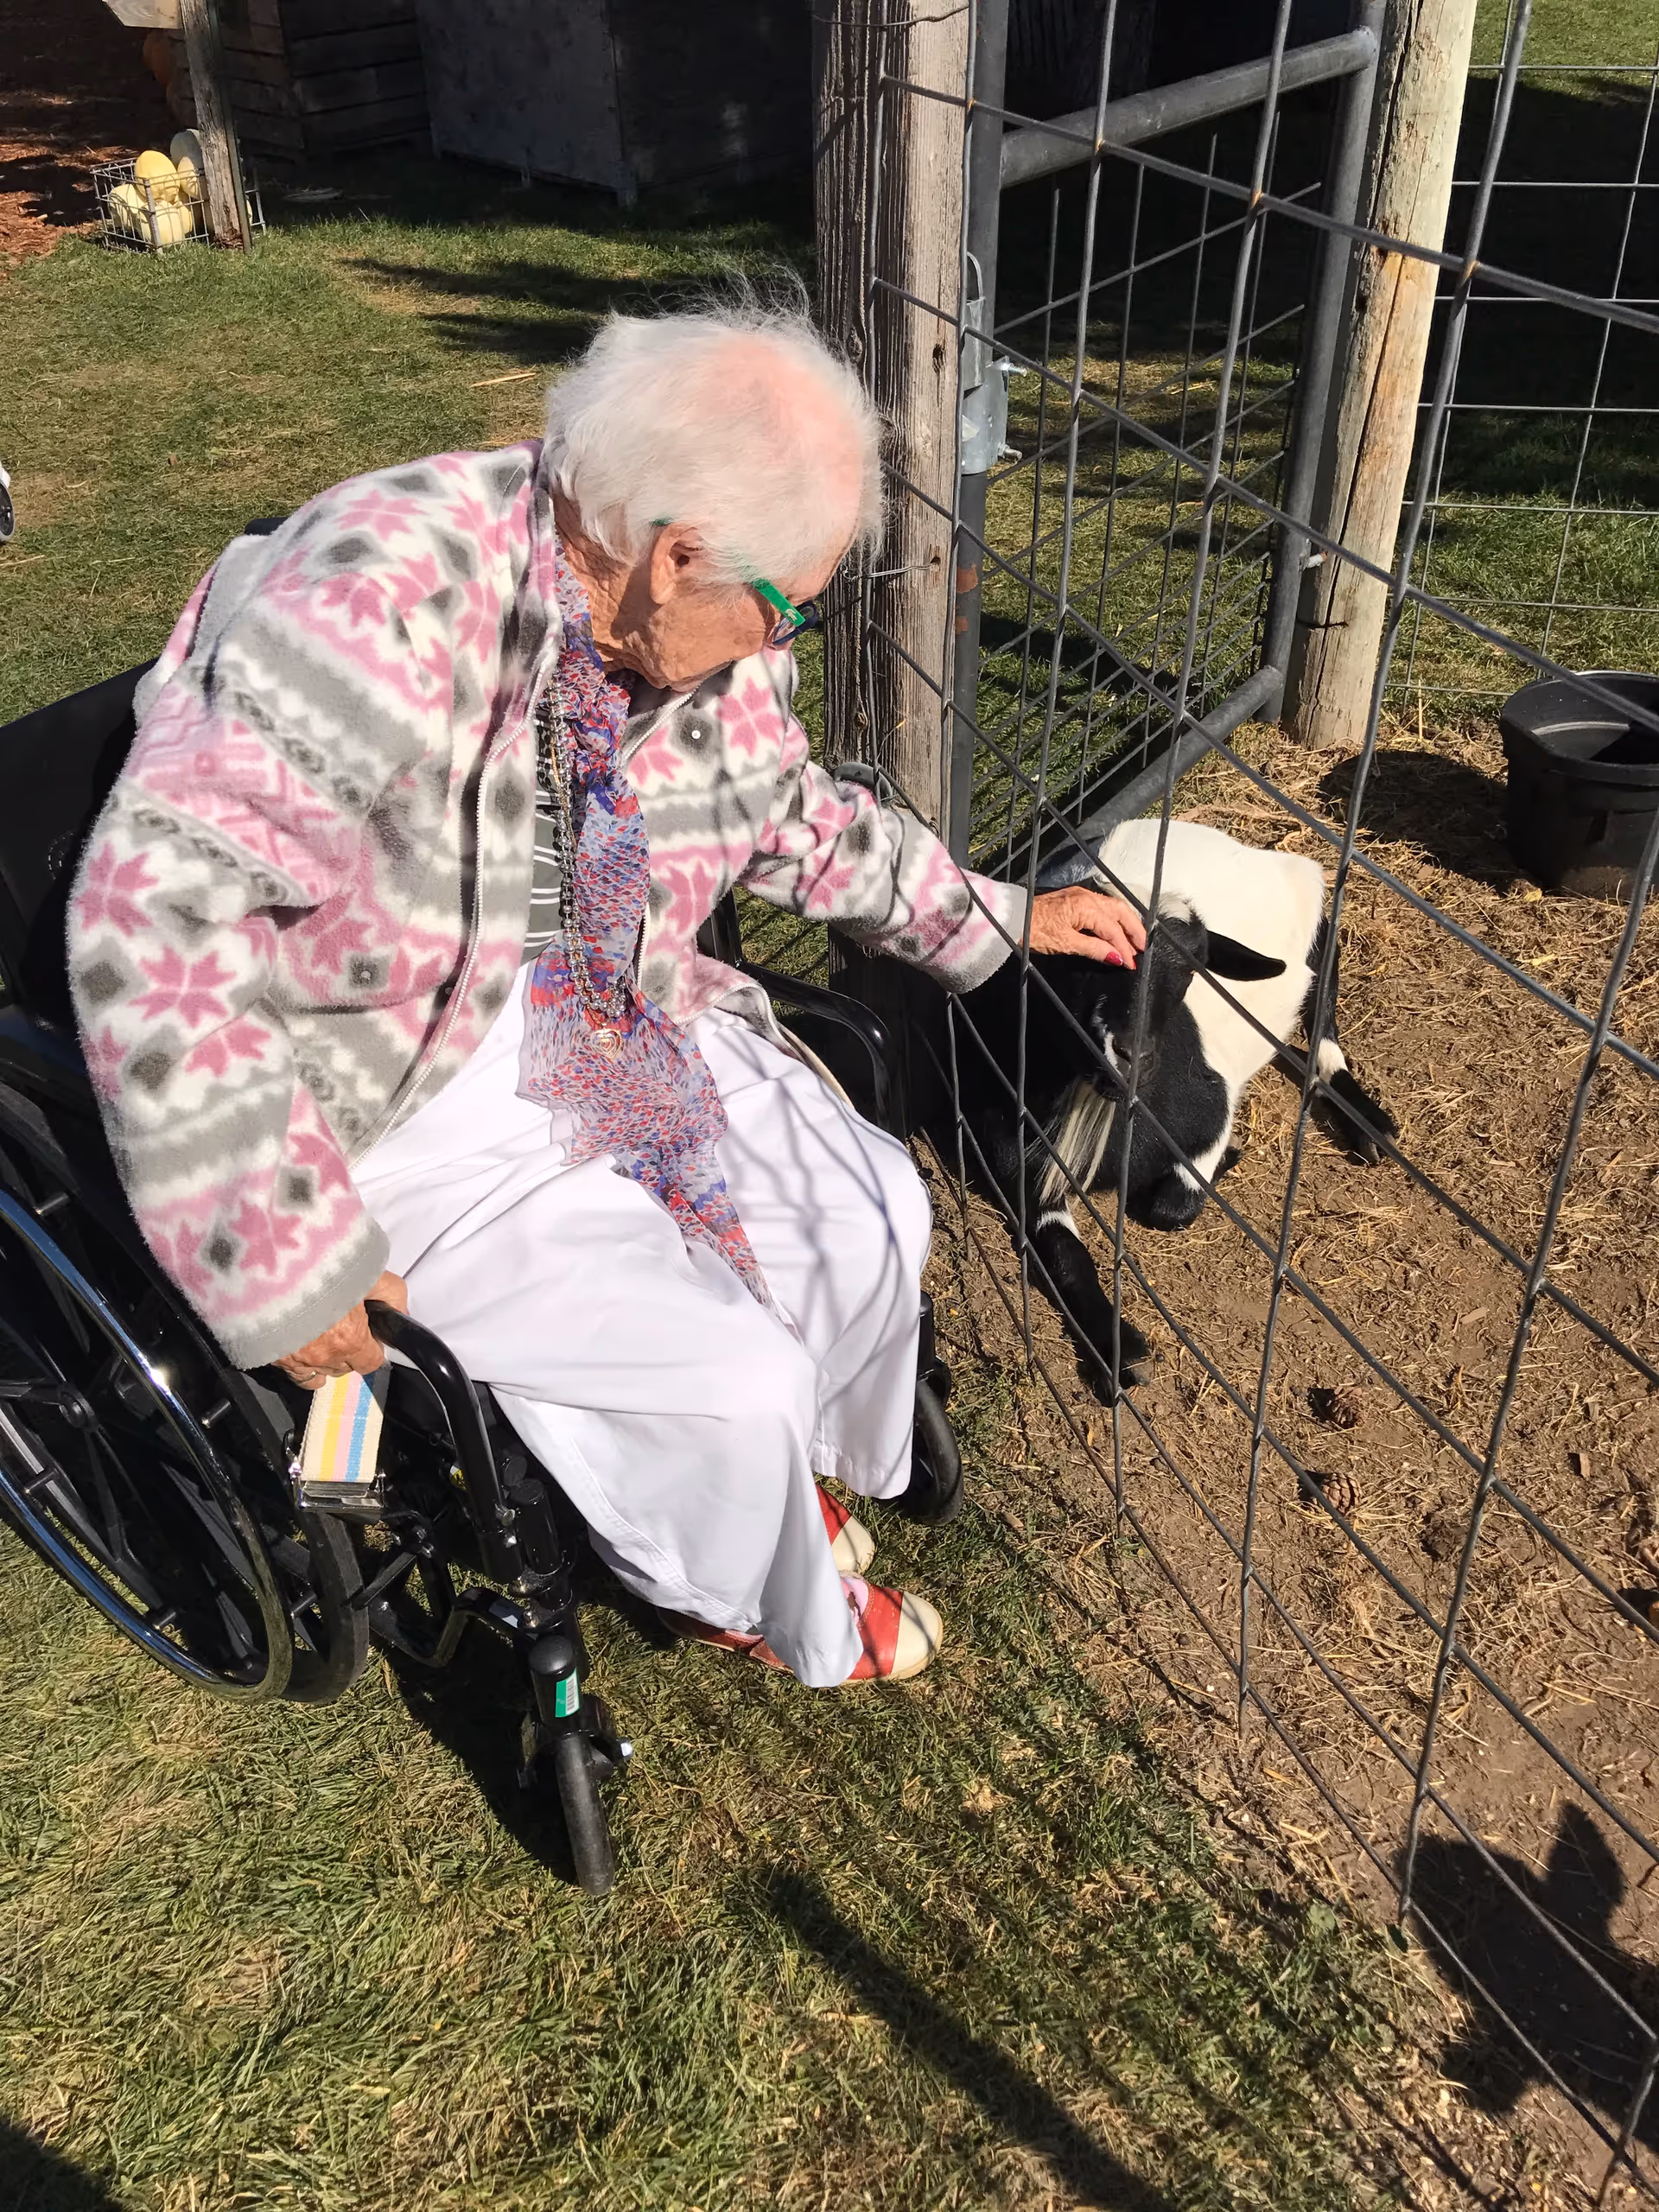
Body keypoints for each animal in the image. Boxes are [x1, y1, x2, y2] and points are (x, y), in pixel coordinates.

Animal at [940, 818, 1395, 1399]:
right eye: (1074, 962)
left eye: (1189, 972)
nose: (1129, 1056)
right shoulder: (1018, 1166)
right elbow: (1067, 1257)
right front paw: (1123, 1353)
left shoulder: (1209, 1110)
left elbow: (1171, 1206)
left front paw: (1229, 1158)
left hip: (1319, 924)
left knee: (1324, 1021)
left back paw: (1370, 1127)